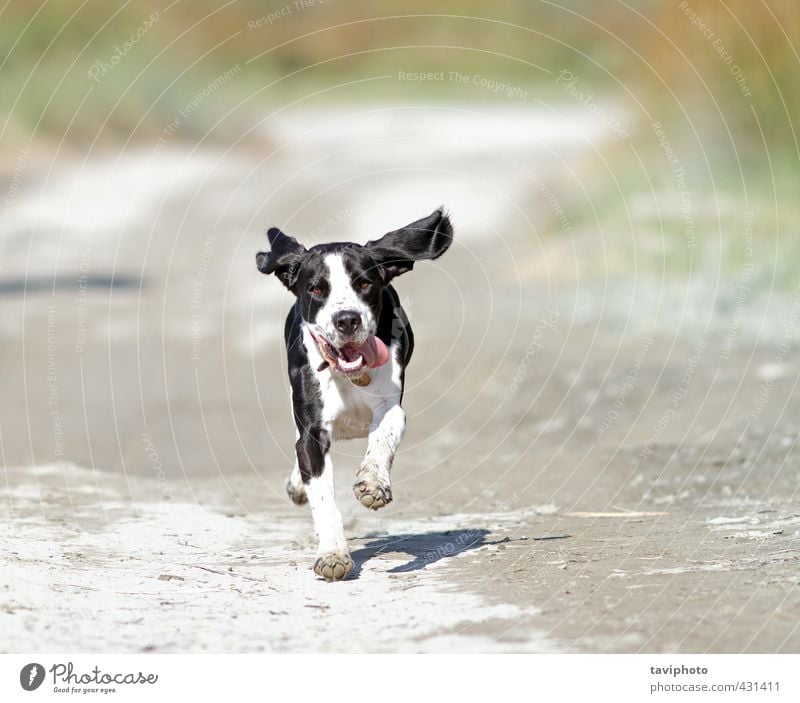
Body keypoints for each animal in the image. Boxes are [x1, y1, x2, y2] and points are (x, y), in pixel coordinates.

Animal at [258, 208, 454, 584]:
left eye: (364, 283)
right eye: (317, 288)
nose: (346, 319)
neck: (347, 375)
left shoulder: (391, 406)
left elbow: (382, 439)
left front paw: (373, 483)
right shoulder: (312, 432)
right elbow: (322, 495)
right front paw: (332, 554)